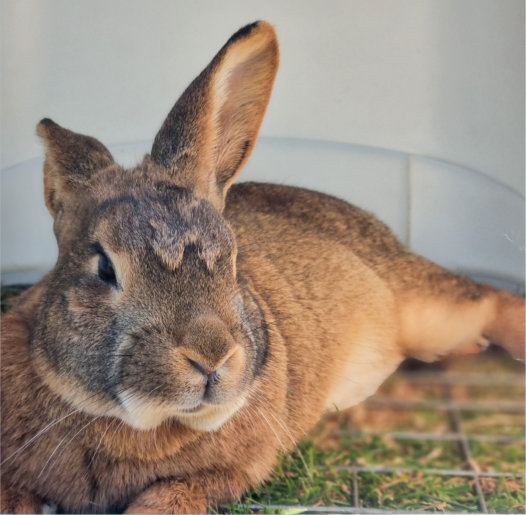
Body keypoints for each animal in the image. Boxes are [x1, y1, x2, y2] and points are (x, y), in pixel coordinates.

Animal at [1, 21, 526, 515]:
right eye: (105, 268)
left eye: (233, 260)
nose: (211, 359)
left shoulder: (228, 474)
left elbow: (172, 494)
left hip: (428, 313)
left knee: (489, 298)